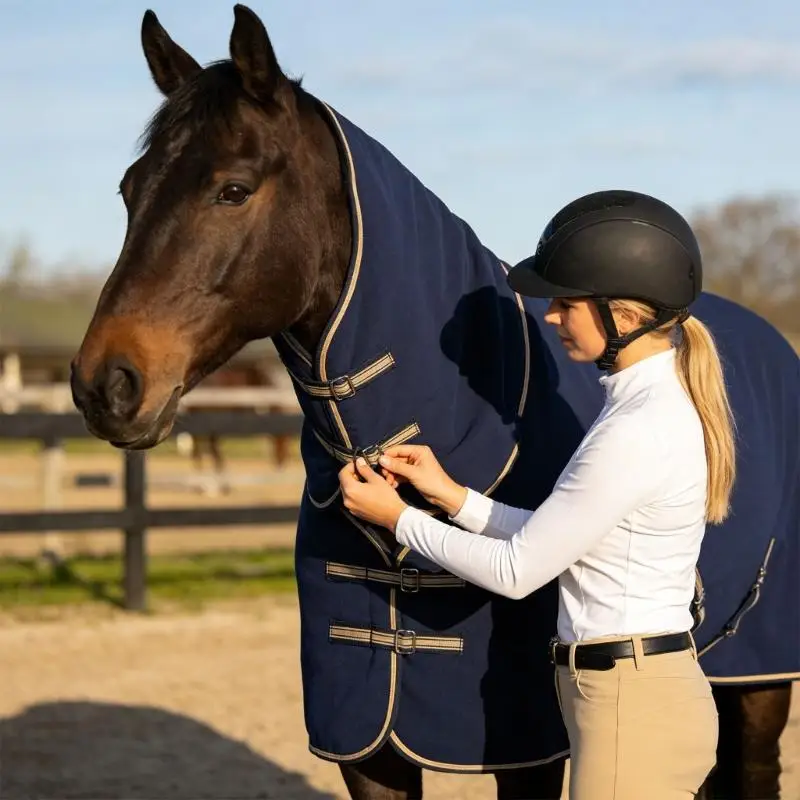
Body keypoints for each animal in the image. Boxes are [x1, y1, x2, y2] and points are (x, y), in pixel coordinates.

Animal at [69, 6, 799, 799]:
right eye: (129, 189)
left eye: (232, 189)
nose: (105, 383)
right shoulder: (366, 744)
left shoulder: (530, 748)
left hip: (760, 678)